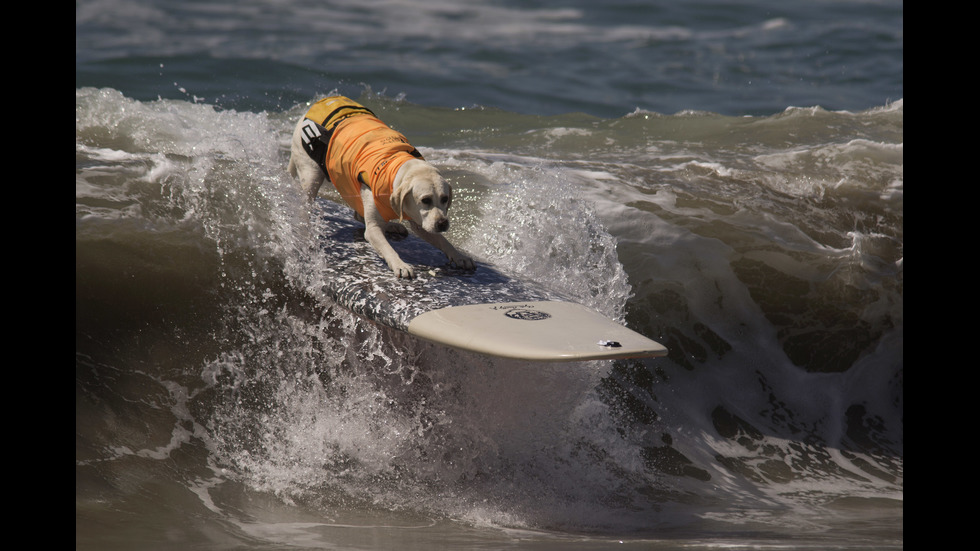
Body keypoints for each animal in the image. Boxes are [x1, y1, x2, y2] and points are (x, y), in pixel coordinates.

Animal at [288, 96, 474, 280]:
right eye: (425, 200)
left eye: (445, 199)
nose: (443, 223)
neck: (396, 168)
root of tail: (306, 113)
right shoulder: (374, 230)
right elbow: (386, 247)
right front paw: (400, 265)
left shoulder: (421, 222)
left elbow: (443, 241)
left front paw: (459, 256)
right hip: (311, 174)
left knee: (359, 214)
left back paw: (391, 225)